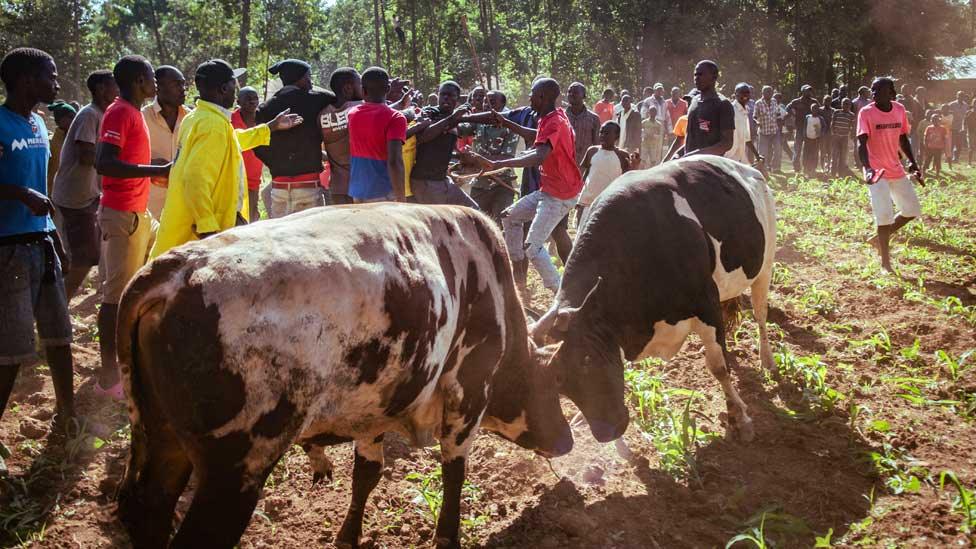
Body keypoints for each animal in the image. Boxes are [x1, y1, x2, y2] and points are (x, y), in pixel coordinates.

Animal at [114, 204, 572, 548]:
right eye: (550, 383)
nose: (566, 441)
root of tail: (176, 271)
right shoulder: (467, 396)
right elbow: (455, 472)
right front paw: (447, 536)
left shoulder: (373, 413)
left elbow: (365, 476)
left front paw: (348, 536)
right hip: (234, 470)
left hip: (161, 438)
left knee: (144, 507)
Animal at [528, 153, 772, 440]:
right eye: (558, 380)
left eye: (587, 361)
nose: (606, 432)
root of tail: (748, 169)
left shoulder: (706, 304)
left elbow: (718, 367)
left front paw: (740, 418)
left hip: (764, 268)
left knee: (760, 314)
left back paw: (767, 359)